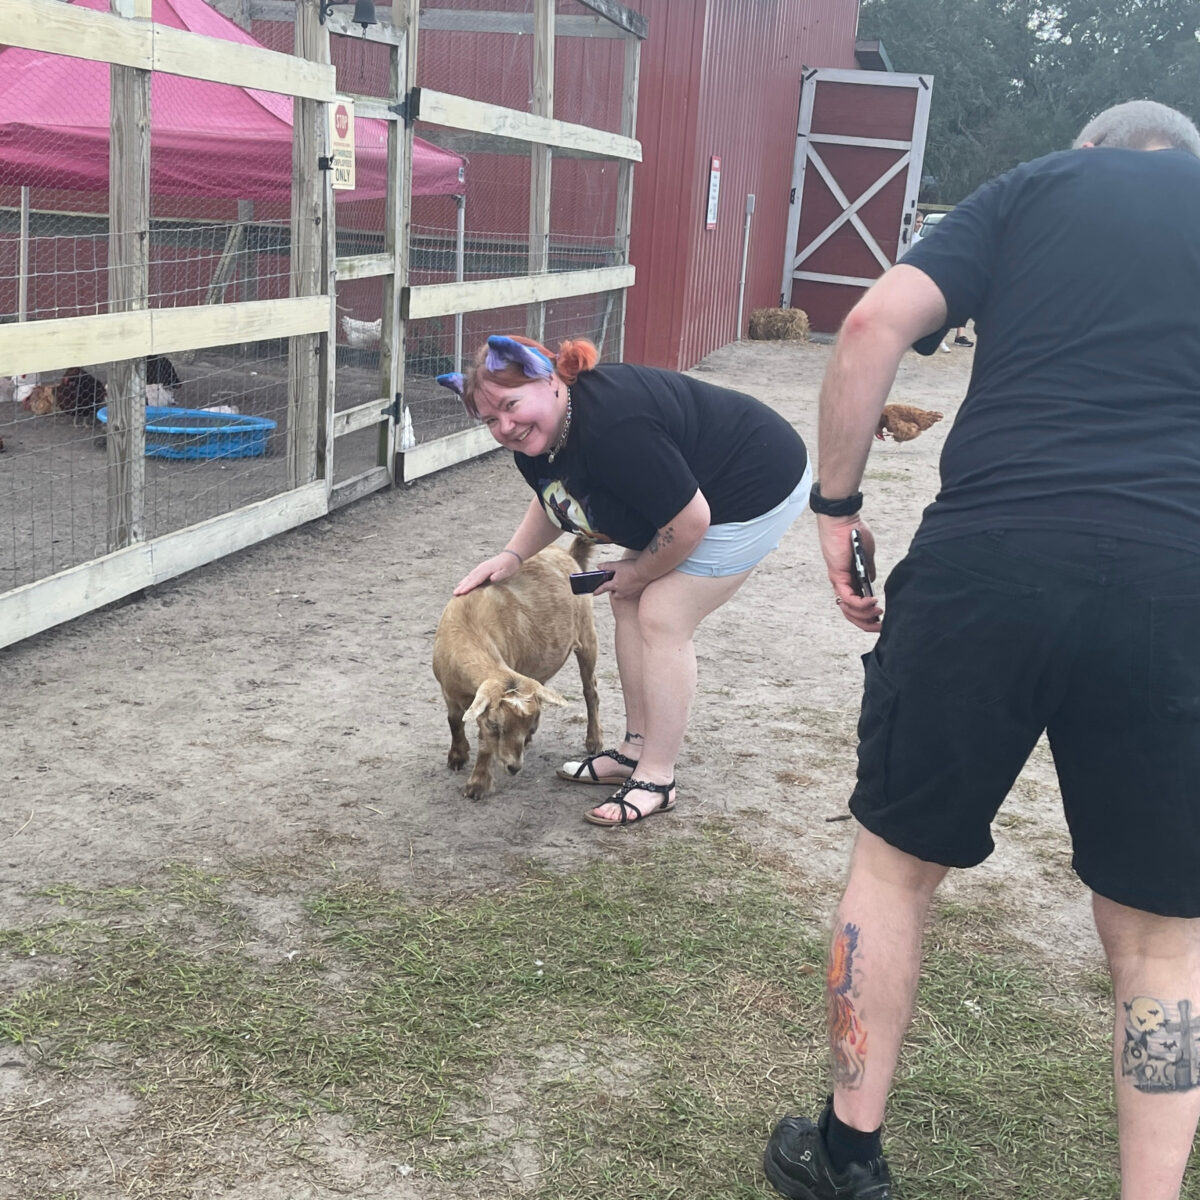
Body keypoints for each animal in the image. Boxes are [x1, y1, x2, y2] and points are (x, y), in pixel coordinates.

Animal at [432, 540, 600, 801]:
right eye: (495, 725)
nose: (514, 767)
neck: (469, 625)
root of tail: (566, 553)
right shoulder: (448, 691)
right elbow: (453, 720)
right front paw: (457, 756)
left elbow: (483, 743)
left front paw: (478, 784)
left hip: (587, 635)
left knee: (590, 691)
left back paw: (594, 741)